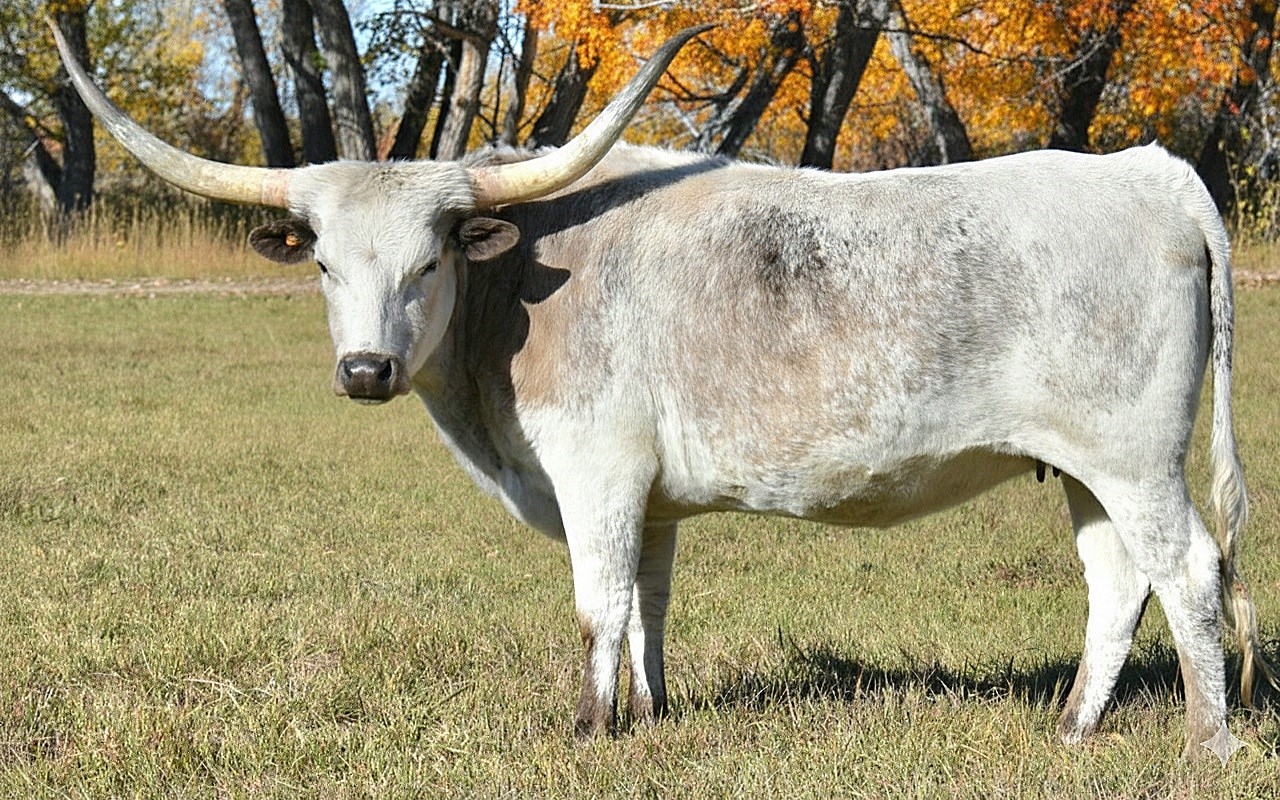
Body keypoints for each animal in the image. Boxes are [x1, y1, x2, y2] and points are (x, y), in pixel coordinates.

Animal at [54, 23, 1276, 758]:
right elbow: (646, 606)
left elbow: (597, 602)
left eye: (431, 257)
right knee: (1115, 580)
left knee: (1187, 570)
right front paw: (645, 713)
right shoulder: (646, 497)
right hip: (1081, 466)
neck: (520, 288)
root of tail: (1145, 169)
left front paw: (588, 730)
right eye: (318, 263)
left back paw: (1205, 745)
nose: (365, 370)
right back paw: (1070, 729)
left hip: (1132, 456)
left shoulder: (594, 470)